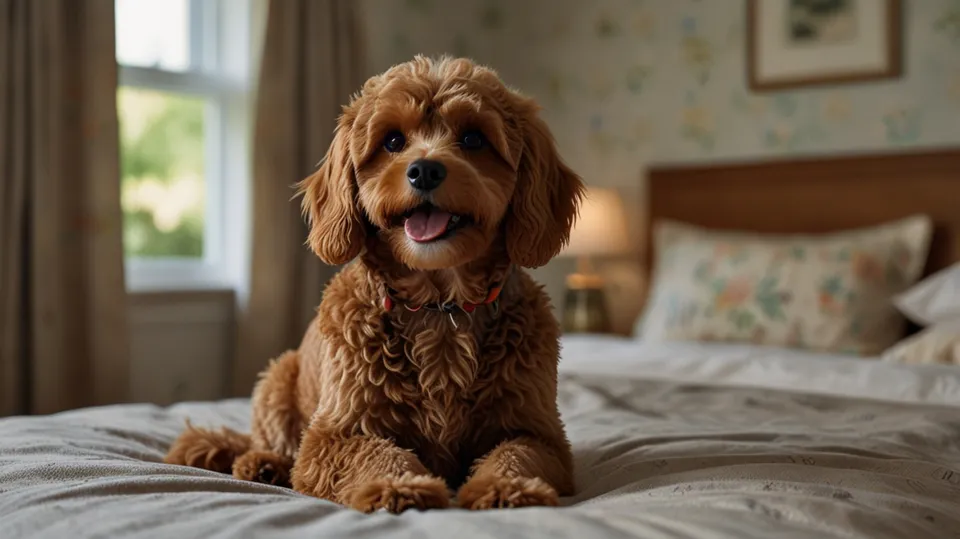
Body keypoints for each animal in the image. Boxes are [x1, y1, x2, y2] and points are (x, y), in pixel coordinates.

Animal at [164, 54, 580, 516]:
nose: (424, 169)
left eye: (473, 138)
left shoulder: (540, 434)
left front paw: (507, 488)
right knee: (270, 445)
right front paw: (398, 485)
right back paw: (263, 464)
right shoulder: (333, 435)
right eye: (393, 141)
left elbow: (514, 453)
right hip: (277, 377)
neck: (440, 307)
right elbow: (376, 452)